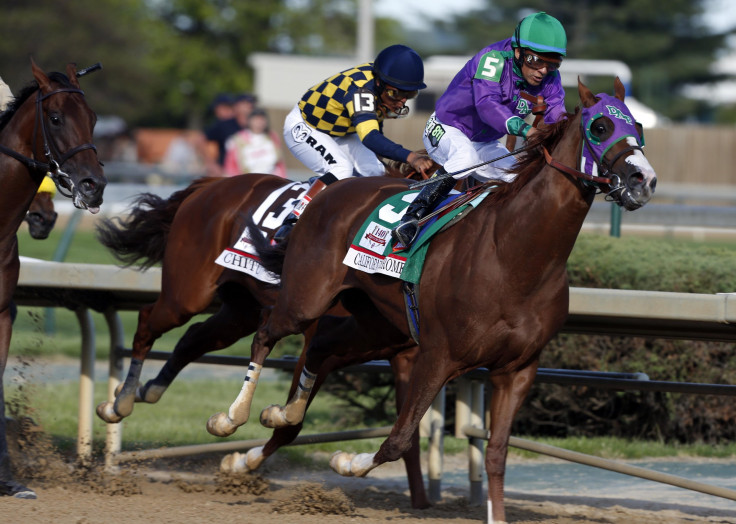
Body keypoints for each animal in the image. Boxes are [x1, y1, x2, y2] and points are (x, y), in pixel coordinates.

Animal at [95, 168, 434, 508]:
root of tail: (212, 184)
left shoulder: (406, 357)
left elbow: (410, 431)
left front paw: (420, 500)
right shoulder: (318, 343)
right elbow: (291, 425)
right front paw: (242, 461)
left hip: (238, 309)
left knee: (193, 338)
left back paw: (148, 390)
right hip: (186, 295)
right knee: (147, 322)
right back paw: (120, 403)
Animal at [211, 79, 656, 524]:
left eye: (636, 125)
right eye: (600, 127)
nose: (644, 180)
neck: (514, 255)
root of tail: (333, 189)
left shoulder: (516, 370)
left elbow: (496, 454)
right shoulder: (438, 356)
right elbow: (399, 439)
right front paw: (346, 461)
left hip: (375, 323)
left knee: (320, 349)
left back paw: (276, 418)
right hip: (307, 299)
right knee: (266, 334)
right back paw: (230, 420)